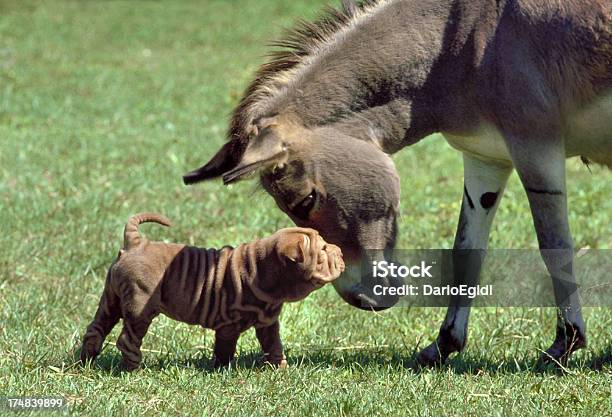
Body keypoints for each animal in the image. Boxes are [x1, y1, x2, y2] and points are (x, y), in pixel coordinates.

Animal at [80, 213, 344, 368]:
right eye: (322, 250)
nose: (341, 252)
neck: (262, 269)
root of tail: (137, 243)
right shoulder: (228, 325)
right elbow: (225, 348)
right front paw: (222, 369)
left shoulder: (267, 322)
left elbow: (273, 345)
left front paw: (280, 369)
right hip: (139, 306)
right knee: (128, 339)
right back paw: (134, 369)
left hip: (111, 299)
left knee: (95, 329)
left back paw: (86, 362)